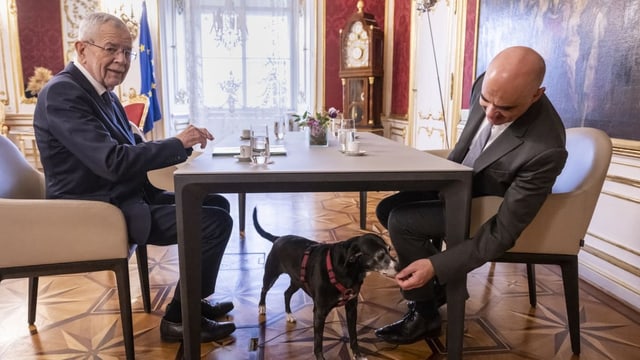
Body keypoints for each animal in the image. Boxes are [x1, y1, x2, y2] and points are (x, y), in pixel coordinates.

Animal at [254, 208, 396, 360]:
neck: (348, 270)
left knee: (287, 293)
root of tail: (279, 238)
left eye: (389, 249)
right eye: (380, 255)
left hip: (297, 281)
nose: (399, 266)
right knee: (264, 289)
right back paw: (262, 307)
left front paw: (357, 354)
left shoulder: (352, 307)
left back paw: (289, 314)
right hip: (271, 275)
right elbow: (318, 342)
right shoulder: (320, 312)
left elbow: (353, 335)